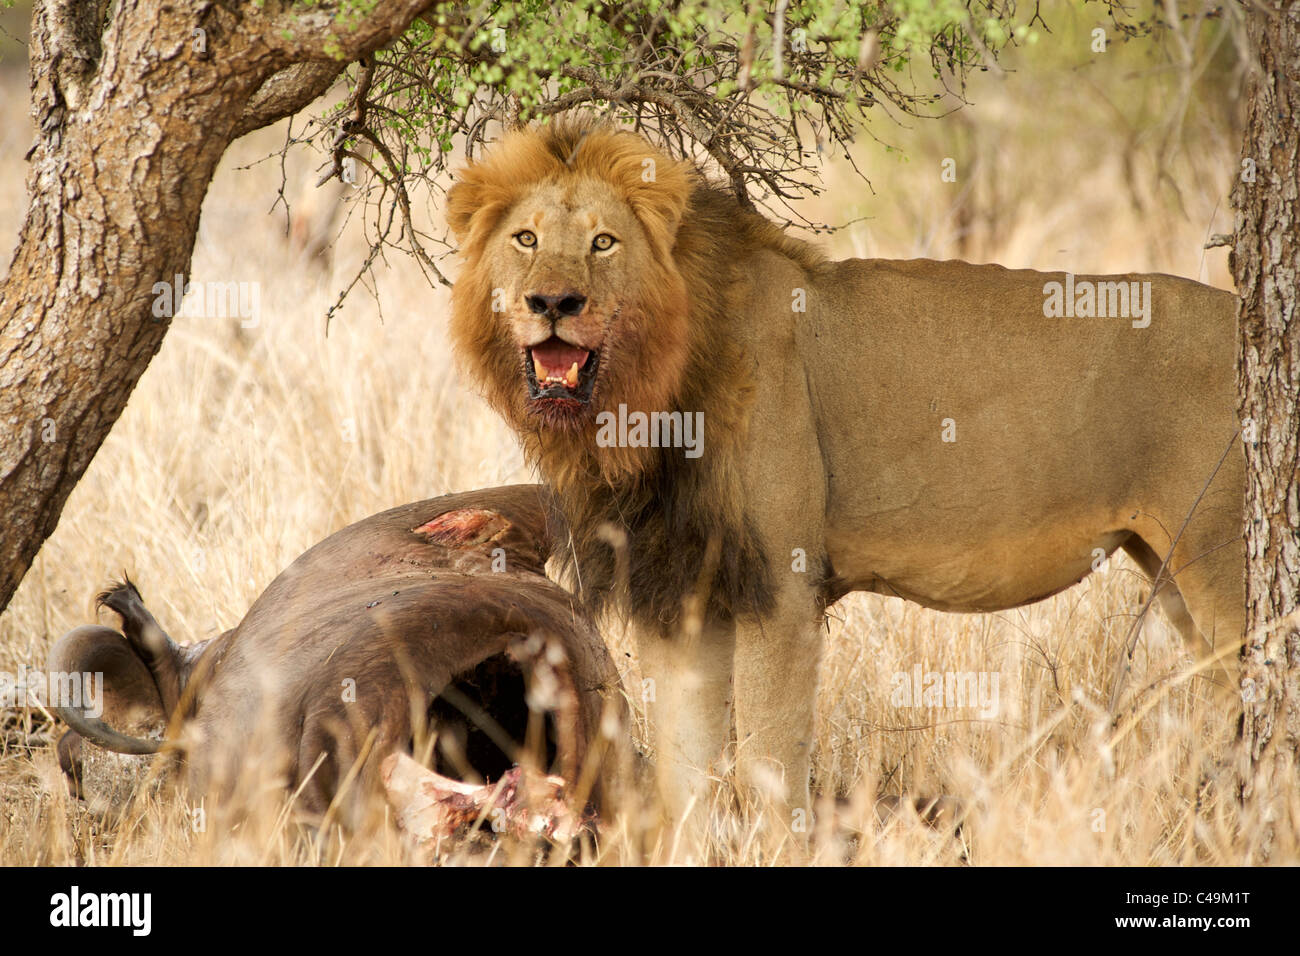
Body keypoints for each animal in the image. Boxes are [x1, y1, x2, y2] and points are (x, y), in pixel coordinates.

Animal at [444, 113, 1237, 832]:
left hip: (1219, 561)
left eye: (603, 242)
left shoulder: (781, 589)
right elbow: (685, 778)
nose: (553, 302)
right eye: (526, 239)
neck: (641, 403)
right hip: (1168, 570)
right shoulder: (683, 593)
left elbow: (768, 767)